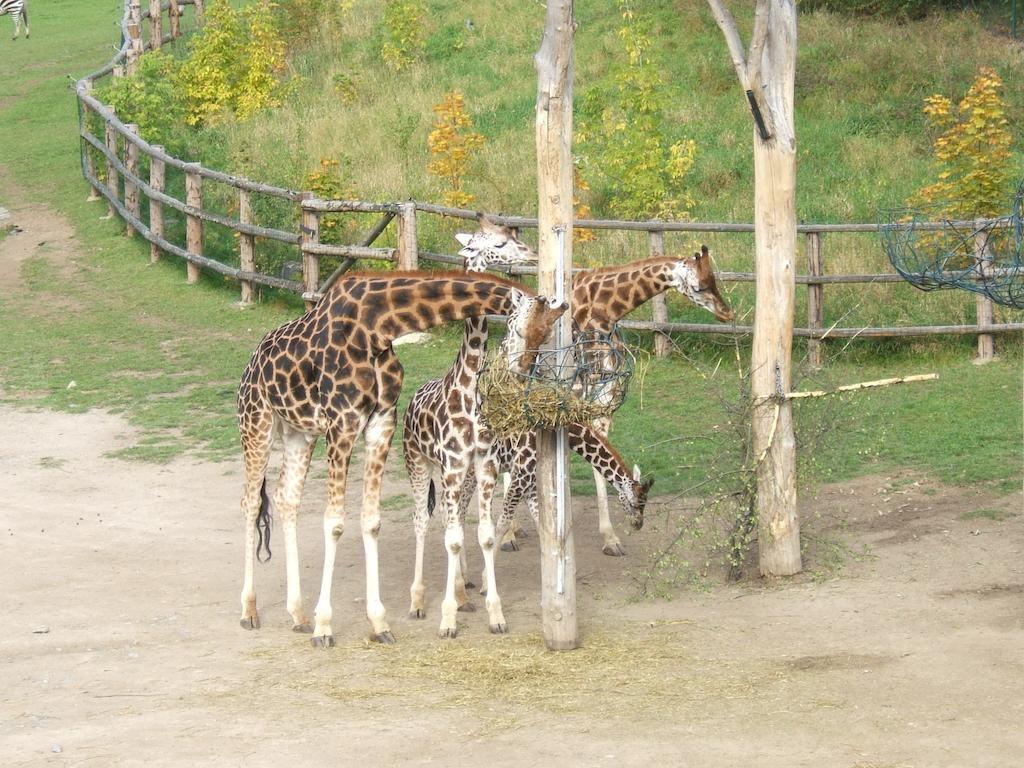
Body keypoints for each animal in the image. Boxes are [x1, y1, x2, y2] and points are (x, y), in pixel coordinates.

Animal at [235, 270, 565, 651]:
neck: (377, 326)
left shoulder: (381, 423)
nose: (515, 383)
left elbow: (371, 521)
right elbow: (334, 524)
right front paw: (325, 627)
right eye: (517, 330)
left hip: (298, 432)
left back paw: (298, 615)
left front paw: (378, 622)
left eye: (546, 338)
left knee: (287, 498)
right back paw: (250, 611)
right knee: (249, 503)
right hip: (256, 422)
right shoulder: (342, 423)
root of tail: (251, 361)